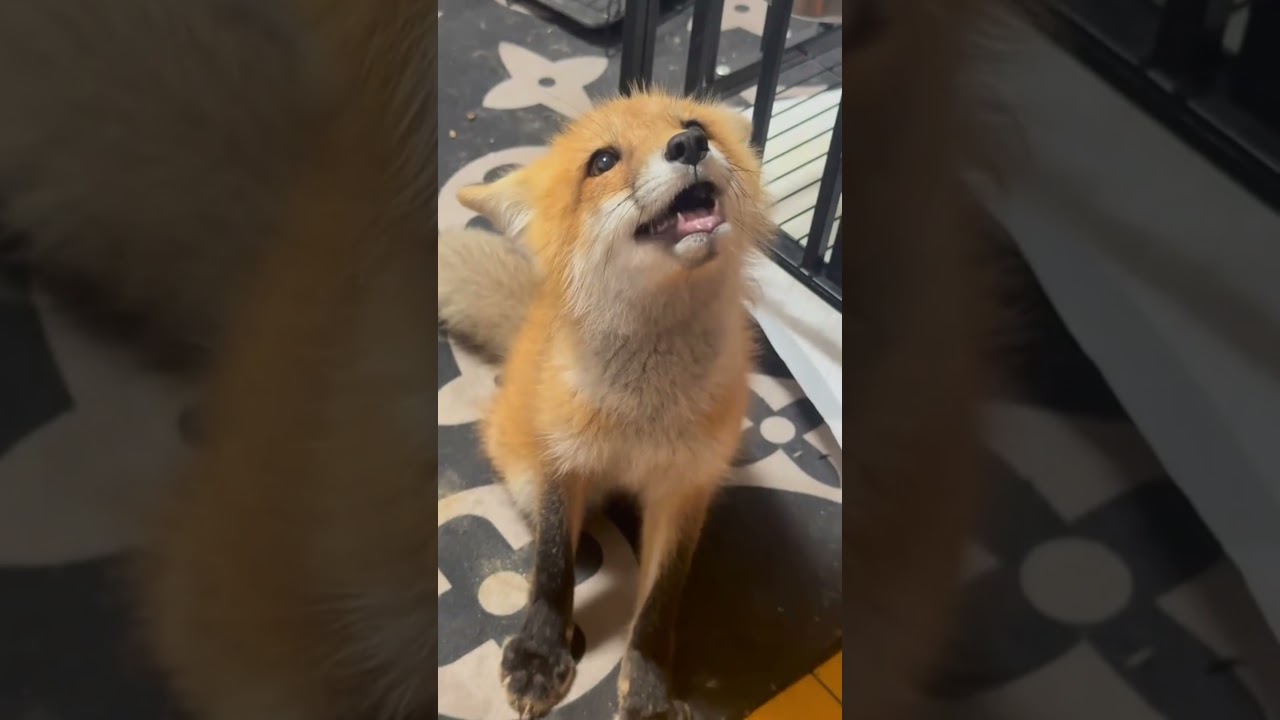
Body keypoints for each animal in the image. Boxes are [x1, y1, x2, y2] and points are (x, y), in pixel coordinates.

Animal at [440, 91, 775, 718]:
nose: (690, 146)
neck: (642, 418)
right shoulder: (560, 462)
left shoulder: (684, 488)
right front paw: (540, 655)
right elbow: (552, 571)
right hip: (524, 473)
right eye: (602, 161)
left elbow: (659, 605)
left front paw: (646, 690)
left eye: (693, 124)